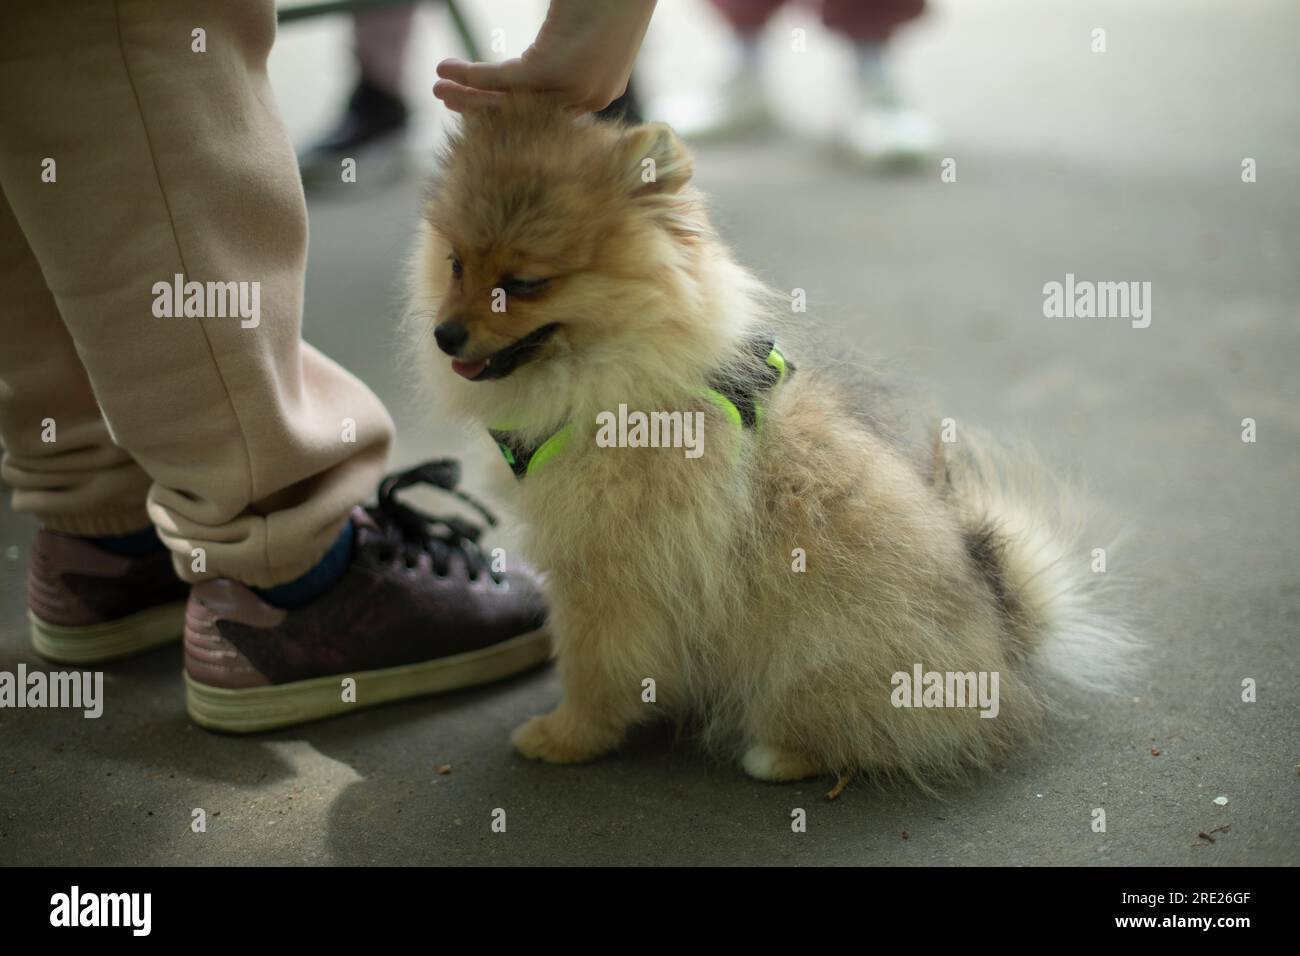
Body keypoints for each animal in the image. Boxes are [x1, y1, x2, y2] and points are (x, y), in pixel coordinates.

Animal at [410, 95, 1133, 785]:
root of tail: (1005, 641)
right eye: (455, 264)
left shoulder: (610, 571)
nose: (446, 334)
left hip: (816, 652)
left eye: (524, 284)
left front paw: (566, 736)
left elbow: (593, 666)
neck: (614, 376)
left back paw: (779, 754)